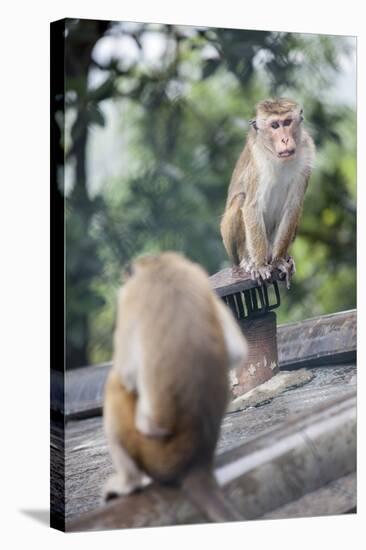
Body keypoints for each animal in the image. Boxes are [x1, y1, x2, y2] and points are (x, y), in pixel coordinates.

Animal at [101, 252, 247, 524]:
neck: (160, 267)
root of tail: (196, 463)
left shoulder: (130, 295)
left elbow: (126, 375)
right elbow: (237, 352)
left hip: (154, 454)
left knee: (115, 387)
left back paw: (129, 483)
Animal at [219, 98, 316, 288]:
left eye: (287, 122)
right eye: (275, 125)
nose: (285, 139)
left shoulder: (306, 155)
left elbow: (293, 207)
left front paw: (278, 261)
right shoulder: (258, 162)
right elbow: (251, 206)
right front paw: (260, 265)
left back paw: (282, 257)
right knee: (241, 200)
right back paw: (248, 260)